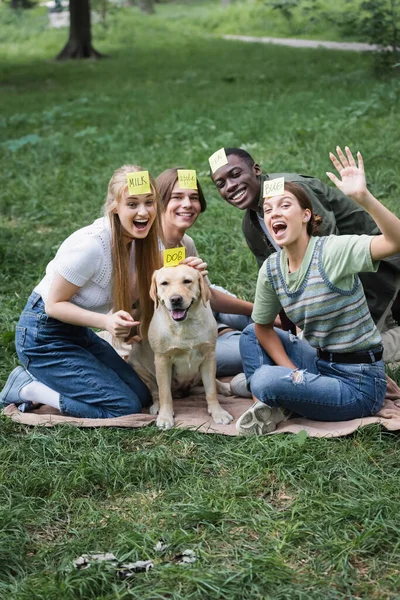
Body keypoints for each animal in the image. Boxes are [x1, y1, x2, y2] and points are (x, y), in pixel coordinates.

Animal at [128, 264, 234, 428]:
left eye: (187, 281)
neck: (185, 325)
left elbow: (211, 390)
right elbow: (164, 393)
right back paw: (157, 406)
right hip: (138, 366)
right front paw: (165, 417)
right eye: (164, 283)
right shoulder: (162, 360)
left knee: (212, 383)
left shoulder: (209, 356)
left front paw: (218, 412)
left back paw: (224, 387)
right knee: (155, 391)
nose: (175, 299)